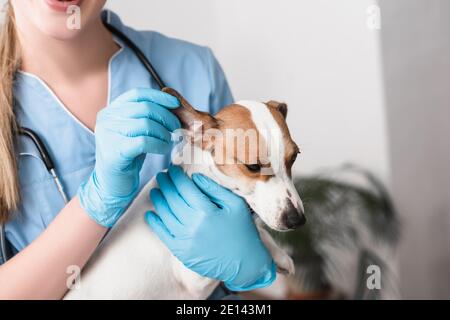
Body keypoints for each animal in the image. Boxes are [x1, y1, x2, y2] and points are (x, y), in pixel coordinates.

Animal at [65, 88, 306, 300]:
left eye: (294, 157)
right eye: (253, 166)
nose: (298, 220)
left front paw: (280, 255)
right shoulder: (196, 277)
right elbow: (250, 235)